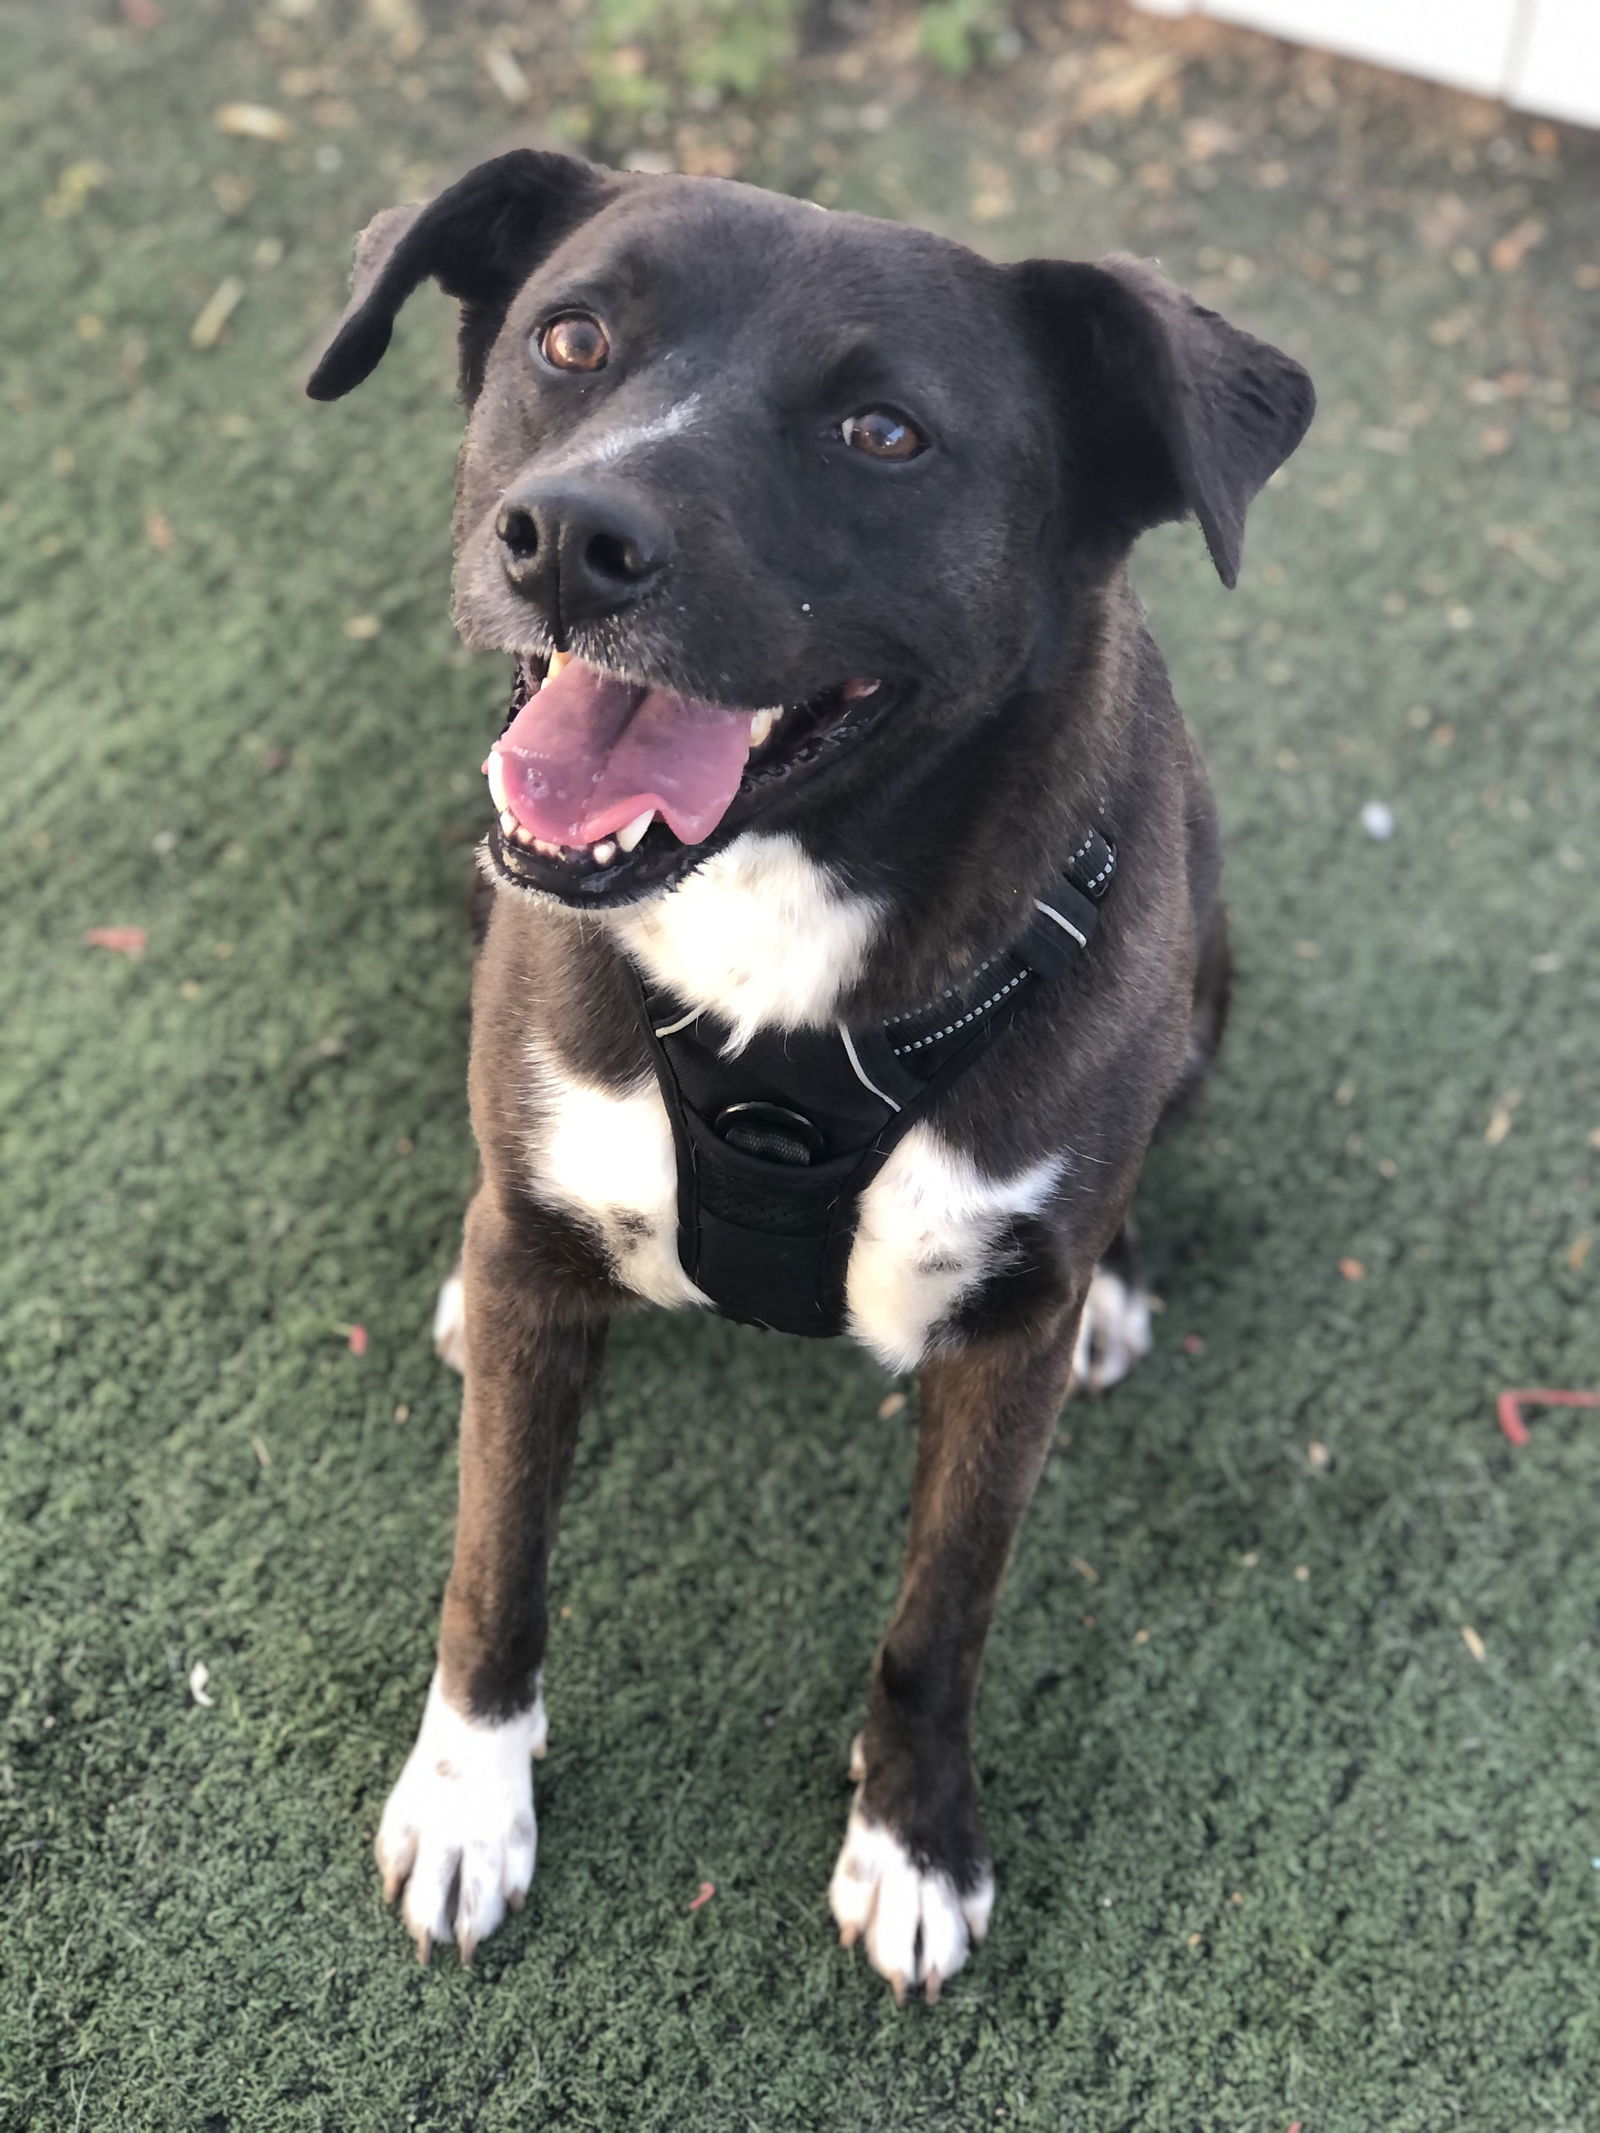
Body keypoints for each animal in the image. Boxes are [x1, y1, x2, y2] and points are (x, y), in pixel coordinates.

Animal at [309, 150, 1314, 1996]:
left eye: (884, 432)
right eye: (572, 336)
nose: (569, 538)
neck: (777, 918)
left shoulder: (999, 1353)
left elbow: (940, 1620)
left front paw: (913, 1843)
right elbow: (497, 1559)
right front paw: (471, 1799)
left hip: (1209, 982)